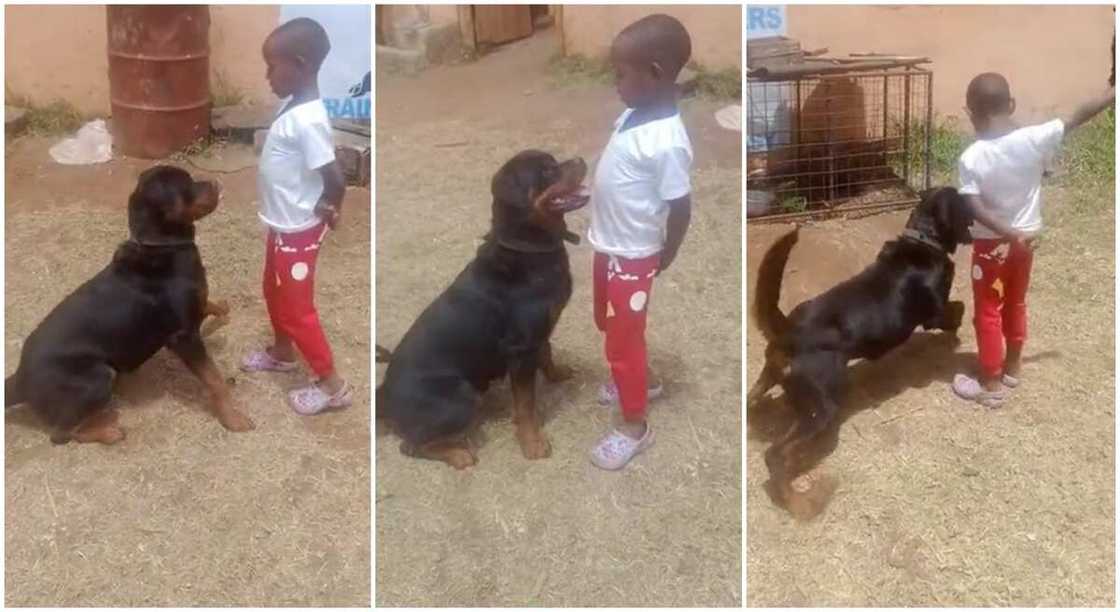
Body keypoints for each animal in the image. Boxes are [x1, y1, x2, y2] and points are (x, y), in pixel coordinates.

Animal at [3, 165, 252, 443]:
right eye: (186, 183)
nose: (216, 183)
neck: (162, 246)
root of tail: (19, 379)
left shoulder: (191, 314)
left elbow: (214, 306)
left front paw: (219, 317)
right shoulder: (183, 337)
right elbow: (214, 379)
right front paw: (233, 419)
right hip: (98, 376)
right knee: (62, 433)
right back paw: (109, 431)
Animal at [374, 147, 591, 466]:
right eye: (547, 171)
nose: (580, 159)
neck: (528, 247)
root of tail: (384, 395)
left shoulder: (539, 334)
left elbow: (547, 353)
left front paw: (557, 374)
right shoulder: (521, 348)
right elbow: (525, 404)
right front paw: (532, 442)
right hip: (462, 394)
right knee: (411, 445)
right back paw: (458, 454)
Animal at [748, 186, 976, 515]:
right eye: (962, 199)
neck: (923, 238)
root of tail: (789, 330)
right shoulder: (934, 314)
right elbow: (958, 308)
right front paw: (956, 333)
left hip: (772, 378)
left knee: (752, 400)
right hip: (821, 408)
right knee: (775, 455)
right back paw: (798, 500)